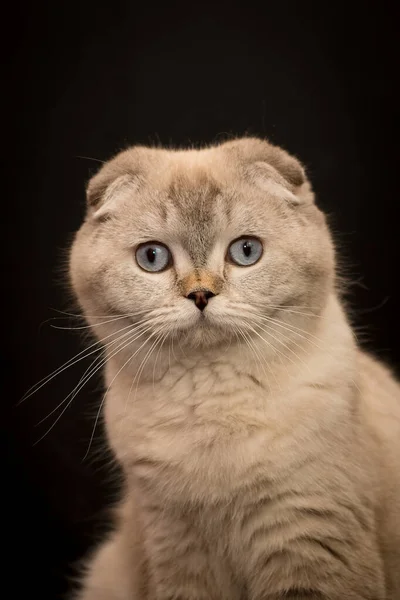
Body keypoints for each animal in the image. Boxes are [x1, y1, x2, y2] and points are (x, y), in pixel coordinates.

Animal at [69, 138, 400, 596]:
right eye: (152, 257)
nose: (200, 295)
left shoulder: (309, 537)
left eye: (246, 251)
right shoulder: (178, 552)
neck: (212, 400)